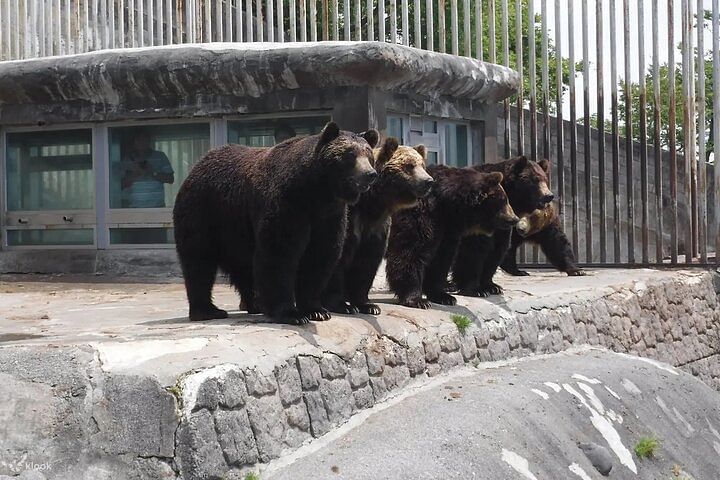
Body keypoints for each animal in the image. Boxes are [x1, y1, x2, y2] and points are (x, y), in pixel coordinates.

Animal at [172, 122, 380, 324]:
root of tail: (198, 165)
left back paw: (255, 304)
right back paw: (208, 310)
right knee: (199, 261)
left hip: (236, 231)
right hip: (204, 214)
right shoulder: (288, 205)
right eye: (350, 154)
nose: (370, 174)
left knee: (242, 268)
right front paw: (292, 314)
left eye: (368, 154)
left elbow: (320, 256)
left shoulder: (329, 216)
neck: (317, 192)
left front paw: (316, 310)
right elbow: (279, 253)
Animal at [324, 137, 434, 316]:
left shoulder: (376, 227)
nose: (428, 181)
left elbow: (368, 261)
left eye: (422, 165)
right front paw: (342, 304)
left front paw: (368, 305)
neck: (372, 202)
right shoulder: (351, 218)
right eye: (409, 166)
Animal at [386, 164, 520, 308]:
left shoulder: (447, 228)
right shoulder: (421, 214)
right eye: (504, 200)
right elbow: (411, 252)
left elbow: (441, 258)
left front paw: (444, 296)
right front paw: (418, 300)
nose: (515, 219)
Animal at [452, 156, 556, 296]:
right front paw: (475, 289)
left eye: (545, 179)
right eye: (534, 180)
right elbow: (473, 249)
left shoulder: (501, 225)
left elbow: (498, 248)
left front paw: (492, 286)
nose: (548, 196)